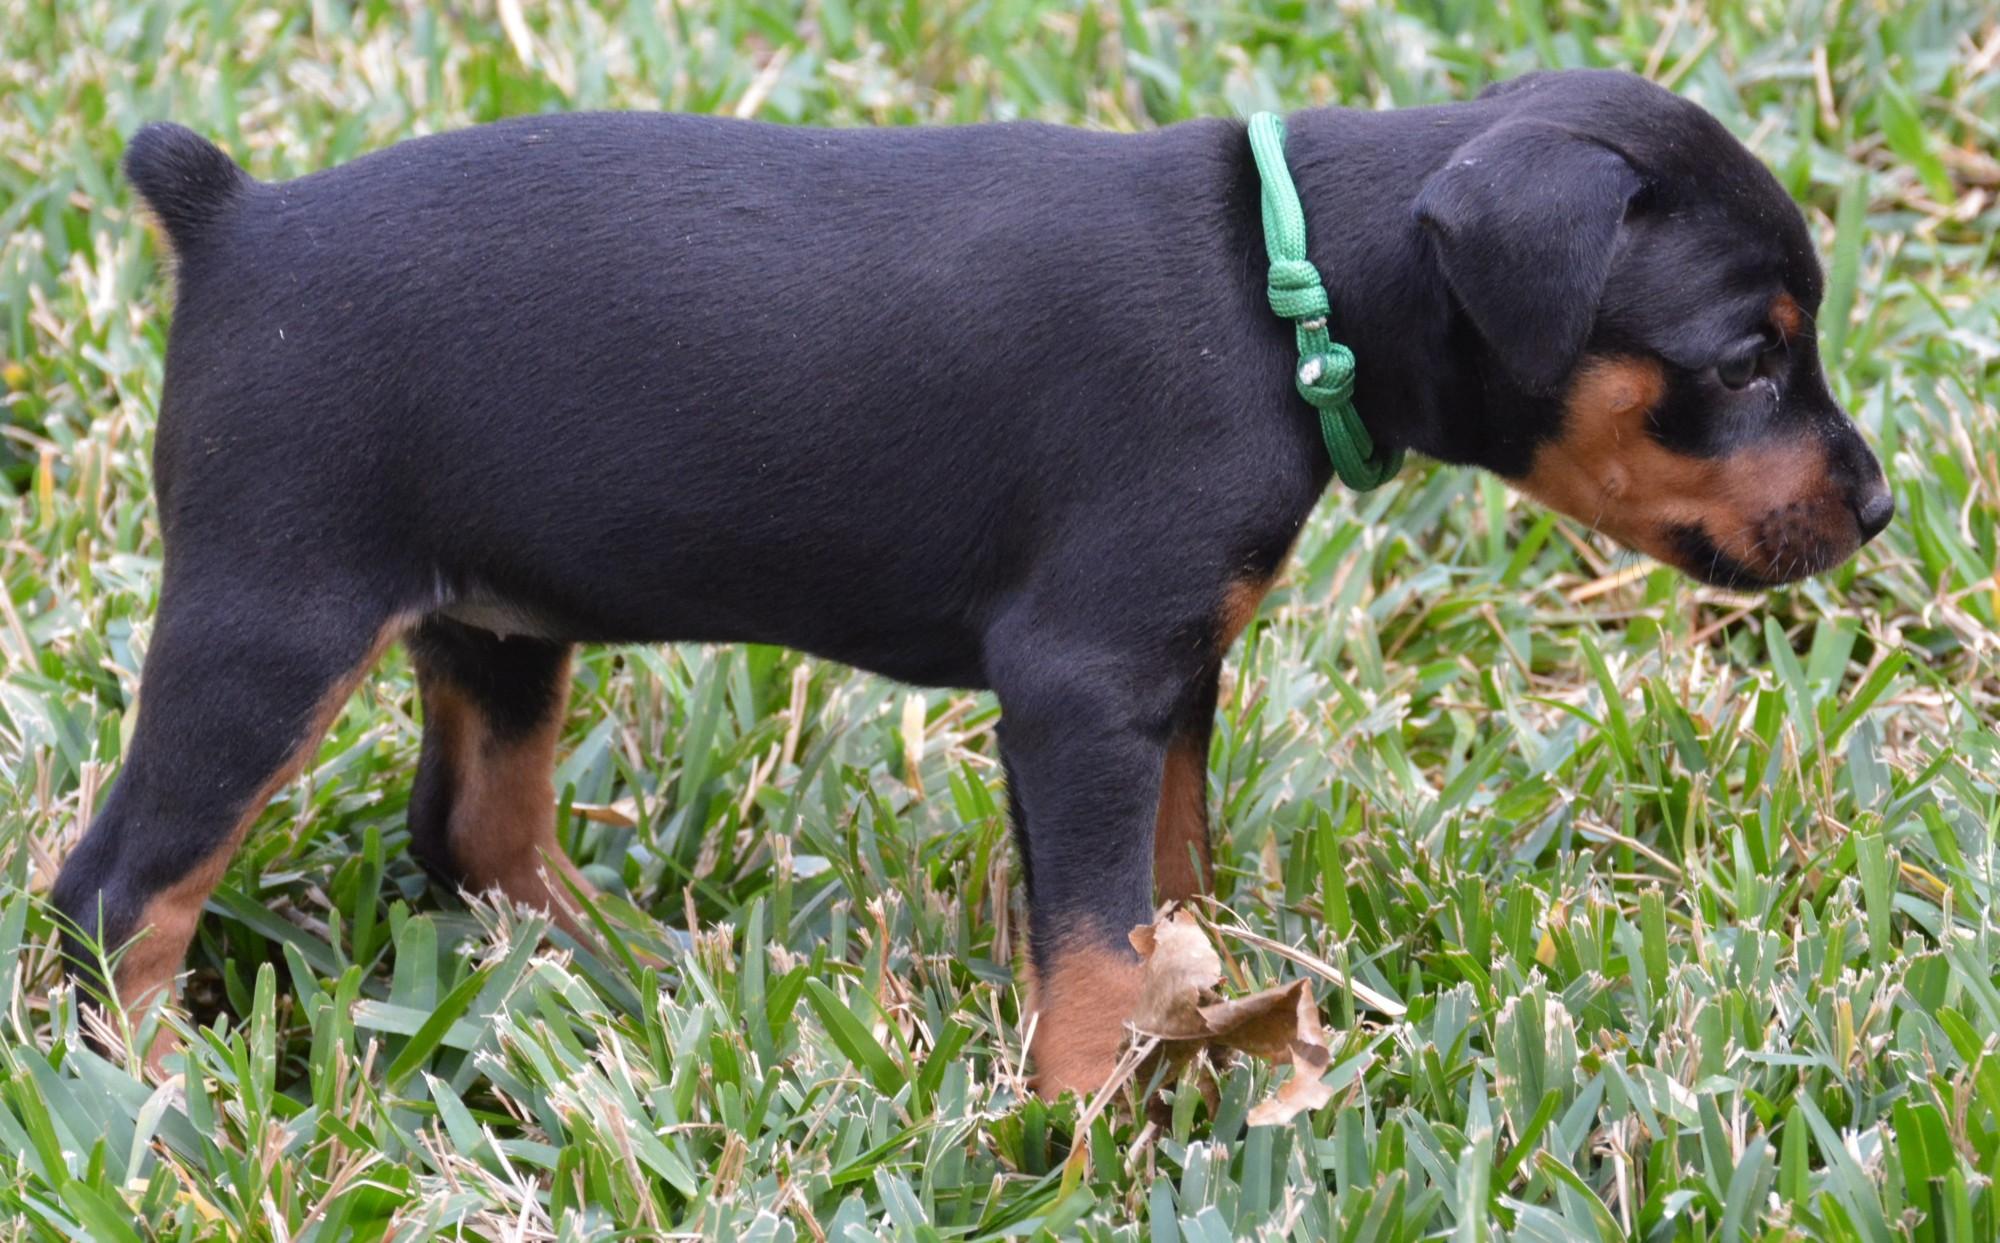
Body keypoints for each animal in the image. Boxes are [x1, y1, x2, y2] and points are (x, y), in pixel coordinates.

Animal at [54, 69, 1891, 1096]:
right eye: (1746, 359)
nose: (1876, 508)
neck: (1280, 285)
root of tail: (230, 220)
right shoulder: (1086, 678)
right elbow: (1087, 935)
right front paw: (1077, 1108)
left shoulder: (1168, 673)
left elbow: (1166, 875)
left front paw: (1200, 1014)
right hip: (276, 616)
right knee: (114, 889)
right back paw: (160, 1104)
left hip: (497, 617)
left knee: (471, 834)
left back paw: (633, 966)